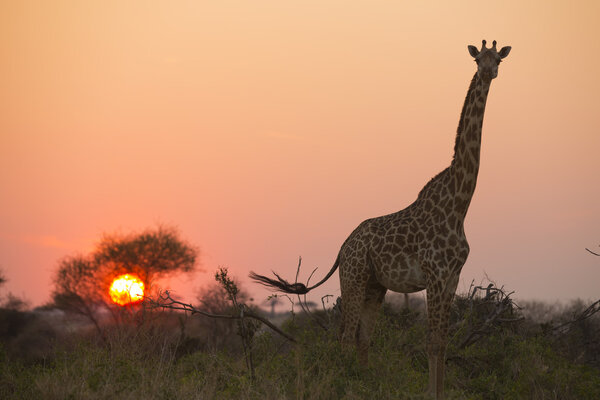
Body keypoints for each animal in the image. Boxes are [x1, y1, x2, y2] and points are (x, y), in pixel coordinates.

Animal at [248, 39, 510, 396]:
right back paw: (345, 383)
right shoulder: (435, 275)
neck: (459, 205)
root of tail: (343, 246)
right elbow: (432, 342)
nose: (488, 72)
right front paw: (430, 394)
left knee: (363, 336)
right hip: (354, 278)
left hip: (375, 285)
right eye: (477, 59)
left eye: (498, 59)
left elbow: (442, 342)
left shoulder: (452, 277)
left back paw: (364, 382)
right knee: (346, 335)